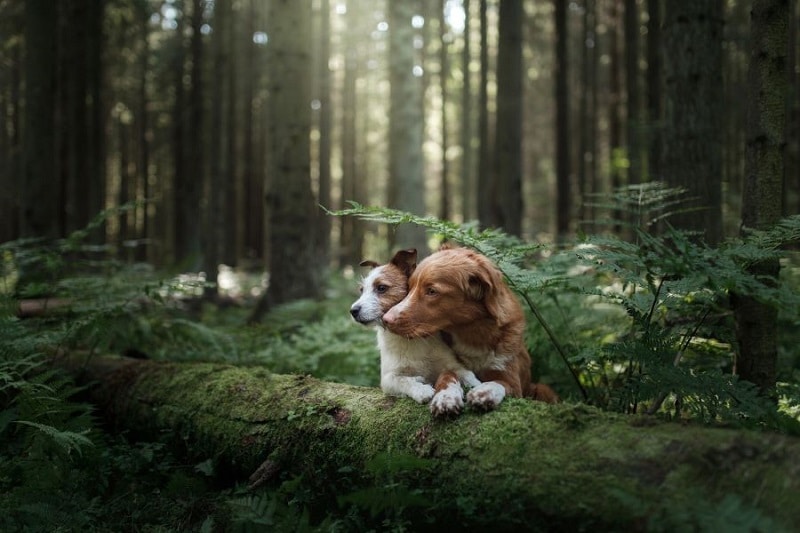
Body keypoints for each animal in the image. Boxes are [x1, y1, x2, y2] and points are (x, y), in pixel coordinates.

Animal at [346, 247, 478, 414]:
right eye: (362, 290)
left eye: (381, 288)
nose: (353, 311)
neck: (411, 337)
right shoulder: (387, 379)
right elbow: (403, 380)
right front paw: (421, 389)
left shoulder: (453, 365)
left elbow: (468, 374)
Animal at [382, 245, 556, 412]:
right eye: (409, 287)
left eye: (431, 291)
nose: (386, 320)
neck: (472, 332)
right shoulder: (448, 364)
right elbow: (448, 374)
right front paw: (446, 397)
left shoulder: (513, 382)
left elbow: (499, 382)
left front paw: (484, 392)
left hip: (543, 389)